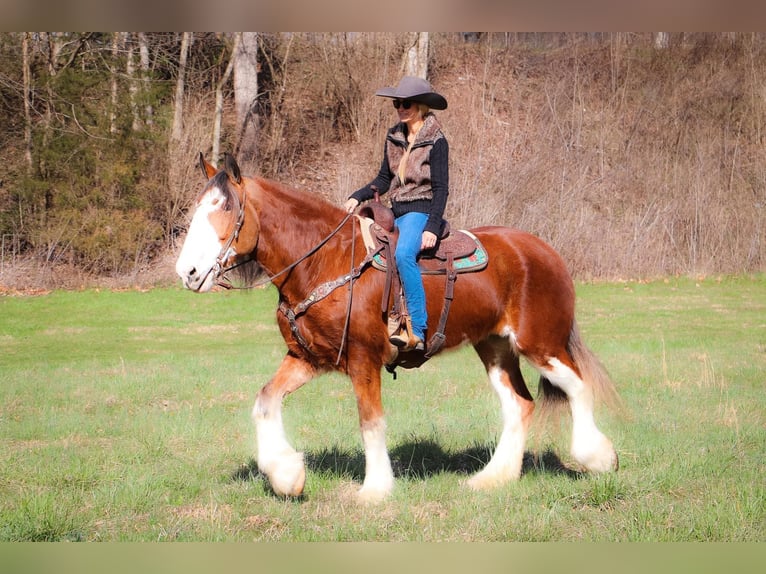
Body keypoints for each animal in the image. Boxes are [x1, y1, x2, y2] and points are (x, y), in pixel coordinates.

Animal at [177, 153, 620, 504]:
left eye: (224, 208)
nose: (188, 272)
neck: (325, 261)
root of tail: (546, 252)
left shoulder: (363, 359)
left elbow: (370, 422)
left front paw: (374, 490)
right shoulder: (308, 357)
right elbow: (265, 400)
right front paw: (287, 476)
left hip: (540, 343)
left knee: (577, 386)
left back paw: (597, 457)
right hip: (495, 347)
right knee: (519, 405)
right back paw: (494, 477)